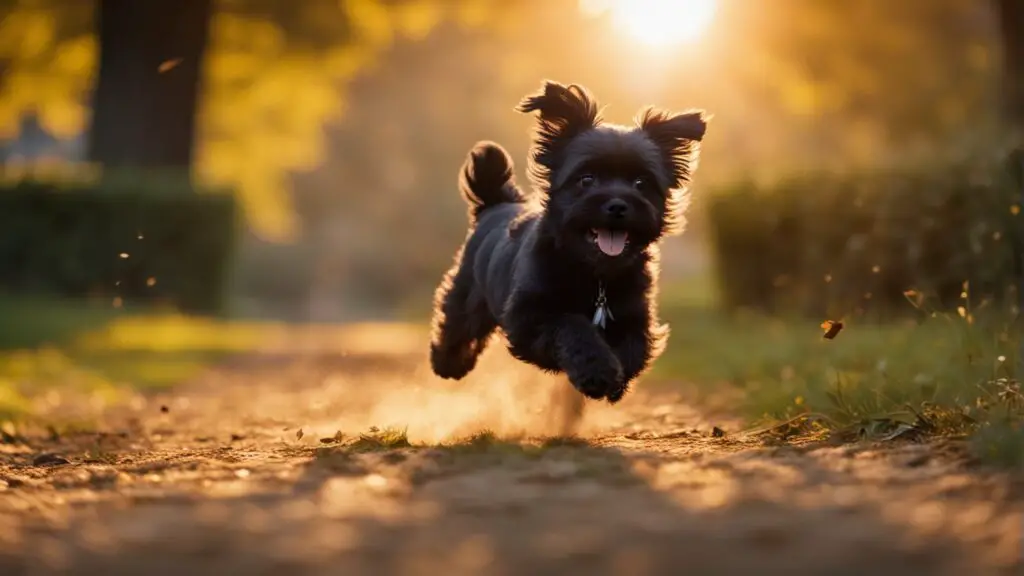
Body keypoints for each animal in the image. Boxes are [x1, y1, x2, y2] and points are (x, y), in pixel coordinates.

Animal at [428, 80, 708, 401]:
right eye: (586, 179)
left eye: (641, 183)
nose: (618, 205)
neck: (595, 273)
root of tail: (497, 203)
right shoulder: (528, 317)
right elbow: (572, 323)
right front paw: (597, 370)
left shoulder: (636, 317)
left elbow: (634, 347)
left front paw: (616, 376)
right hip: (467, 297)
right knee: (455, 327)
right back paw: (448, 364)